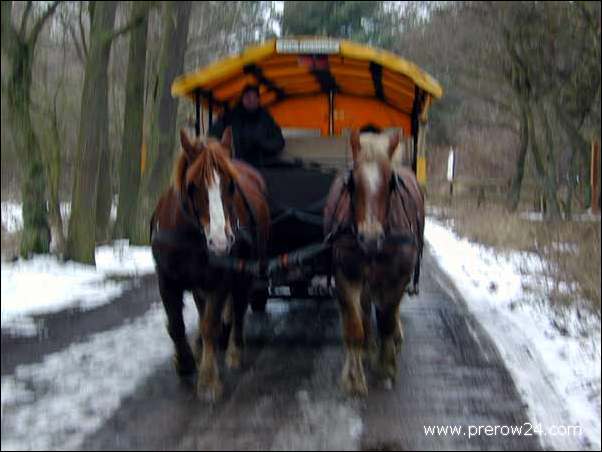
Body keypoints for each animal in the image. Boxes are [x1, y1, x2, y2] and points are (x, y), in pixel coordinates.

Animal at [150, 129, 270, 400]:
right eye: (192, 185)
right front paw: (185, 361)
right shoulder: (166, 278)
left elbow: (210, 325)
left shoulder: (220, 278)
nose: (219, 241)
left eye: (231, 184)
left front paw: (208, 379)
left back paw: (234, 349)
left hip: (244, 271)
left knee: (239, 306)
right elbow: (176, 323)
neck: (191, 234)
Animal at [324, 129, 422, 394]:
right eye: (352, 183)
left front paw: (386, 365)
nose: (369, 238)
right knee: (366, 309)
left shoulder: (396, 280)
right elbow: (354, 327)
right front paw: (354, 377)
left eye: (391, 183)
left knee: (388, 312)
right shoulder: (346, 277)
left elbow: (387, 320)